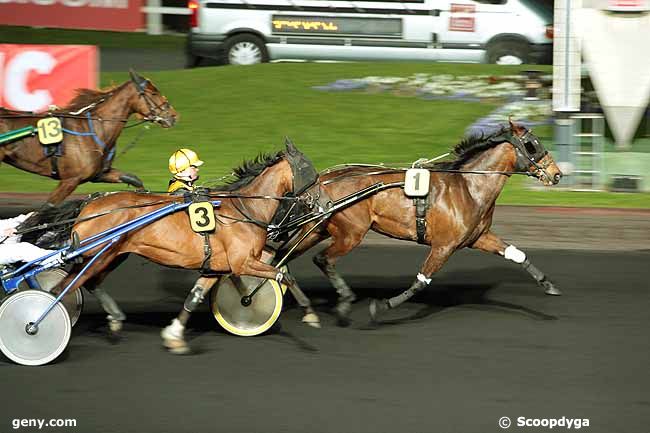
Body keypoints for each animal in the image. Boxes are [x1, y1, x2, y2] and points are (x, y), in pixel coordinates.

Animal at [0, 70, 177, 205]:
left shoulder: (99, 174)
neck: (95, 130)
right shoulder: (70, 180)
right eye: (154, 92)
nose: (173, 116)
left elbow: (134, 179)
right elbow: (48, 206)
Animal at [50, 140, 316, 352]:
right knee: (62, 287)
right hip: (98, 255)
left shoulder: (215, 267)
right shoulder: (243, 263)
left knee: (88, 283)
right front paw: (310, 314)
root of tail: (89, 204)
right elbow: (283, 275)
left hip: (112, 256)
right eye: (306, 168)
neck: (244, 209)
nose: (317, 200)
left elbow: (194, 298)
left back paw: (113, 318)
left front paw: (174, 336)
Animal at [278, 120, 560, 324]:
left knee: (283, 256)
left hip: (318, 229)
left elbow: (517, 254)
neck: (469, 186)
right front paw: (382, 306)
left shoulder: (479, 237)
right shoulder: (444, 246)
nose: (556, 174)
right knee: (322, 259)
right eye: (532, 145)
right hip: (351, 233)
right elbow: (421, 281)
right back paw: (343, 300)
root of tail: (322, 180)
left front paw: (549, 285)